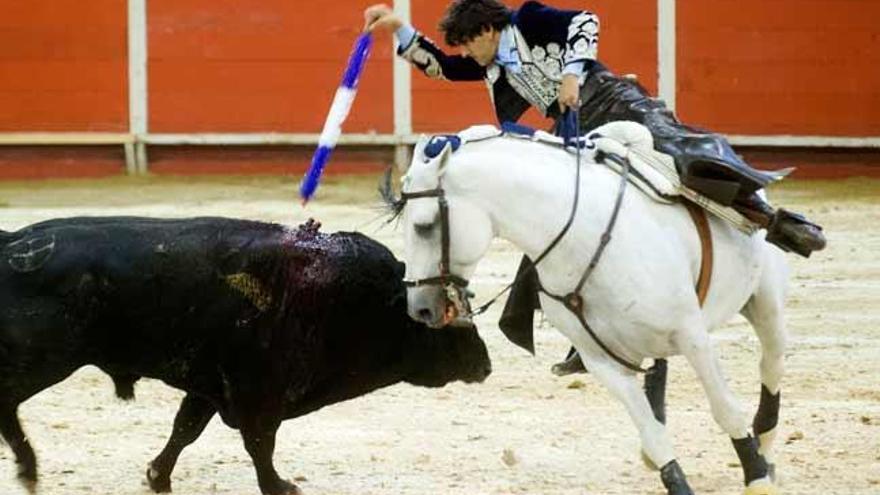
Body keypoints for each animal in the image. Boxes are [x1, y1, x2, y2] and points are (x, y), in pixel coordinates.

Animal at [0, 218, 492, 495]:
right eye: (449, 320)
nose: (485, 365)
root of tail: (13, 242)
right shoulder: (259, 392)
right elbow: (259, 443)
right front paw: (278, 487)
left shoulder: (210, 387)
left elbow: (185, 430)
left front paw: (158, 476)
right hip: (43, 360)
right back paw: (28, 468)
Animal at [396, 124, 788, 495]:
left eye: (424, 226)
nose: (420, 309)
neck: (582, 241)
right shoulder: (601, 361)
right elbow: (652, 434)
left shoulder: (691, 335)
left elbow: (725, 409)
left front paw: (757, 478)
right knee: (659, 371)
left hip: (765, 301)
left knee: (770, 363)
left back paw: (765, 441)